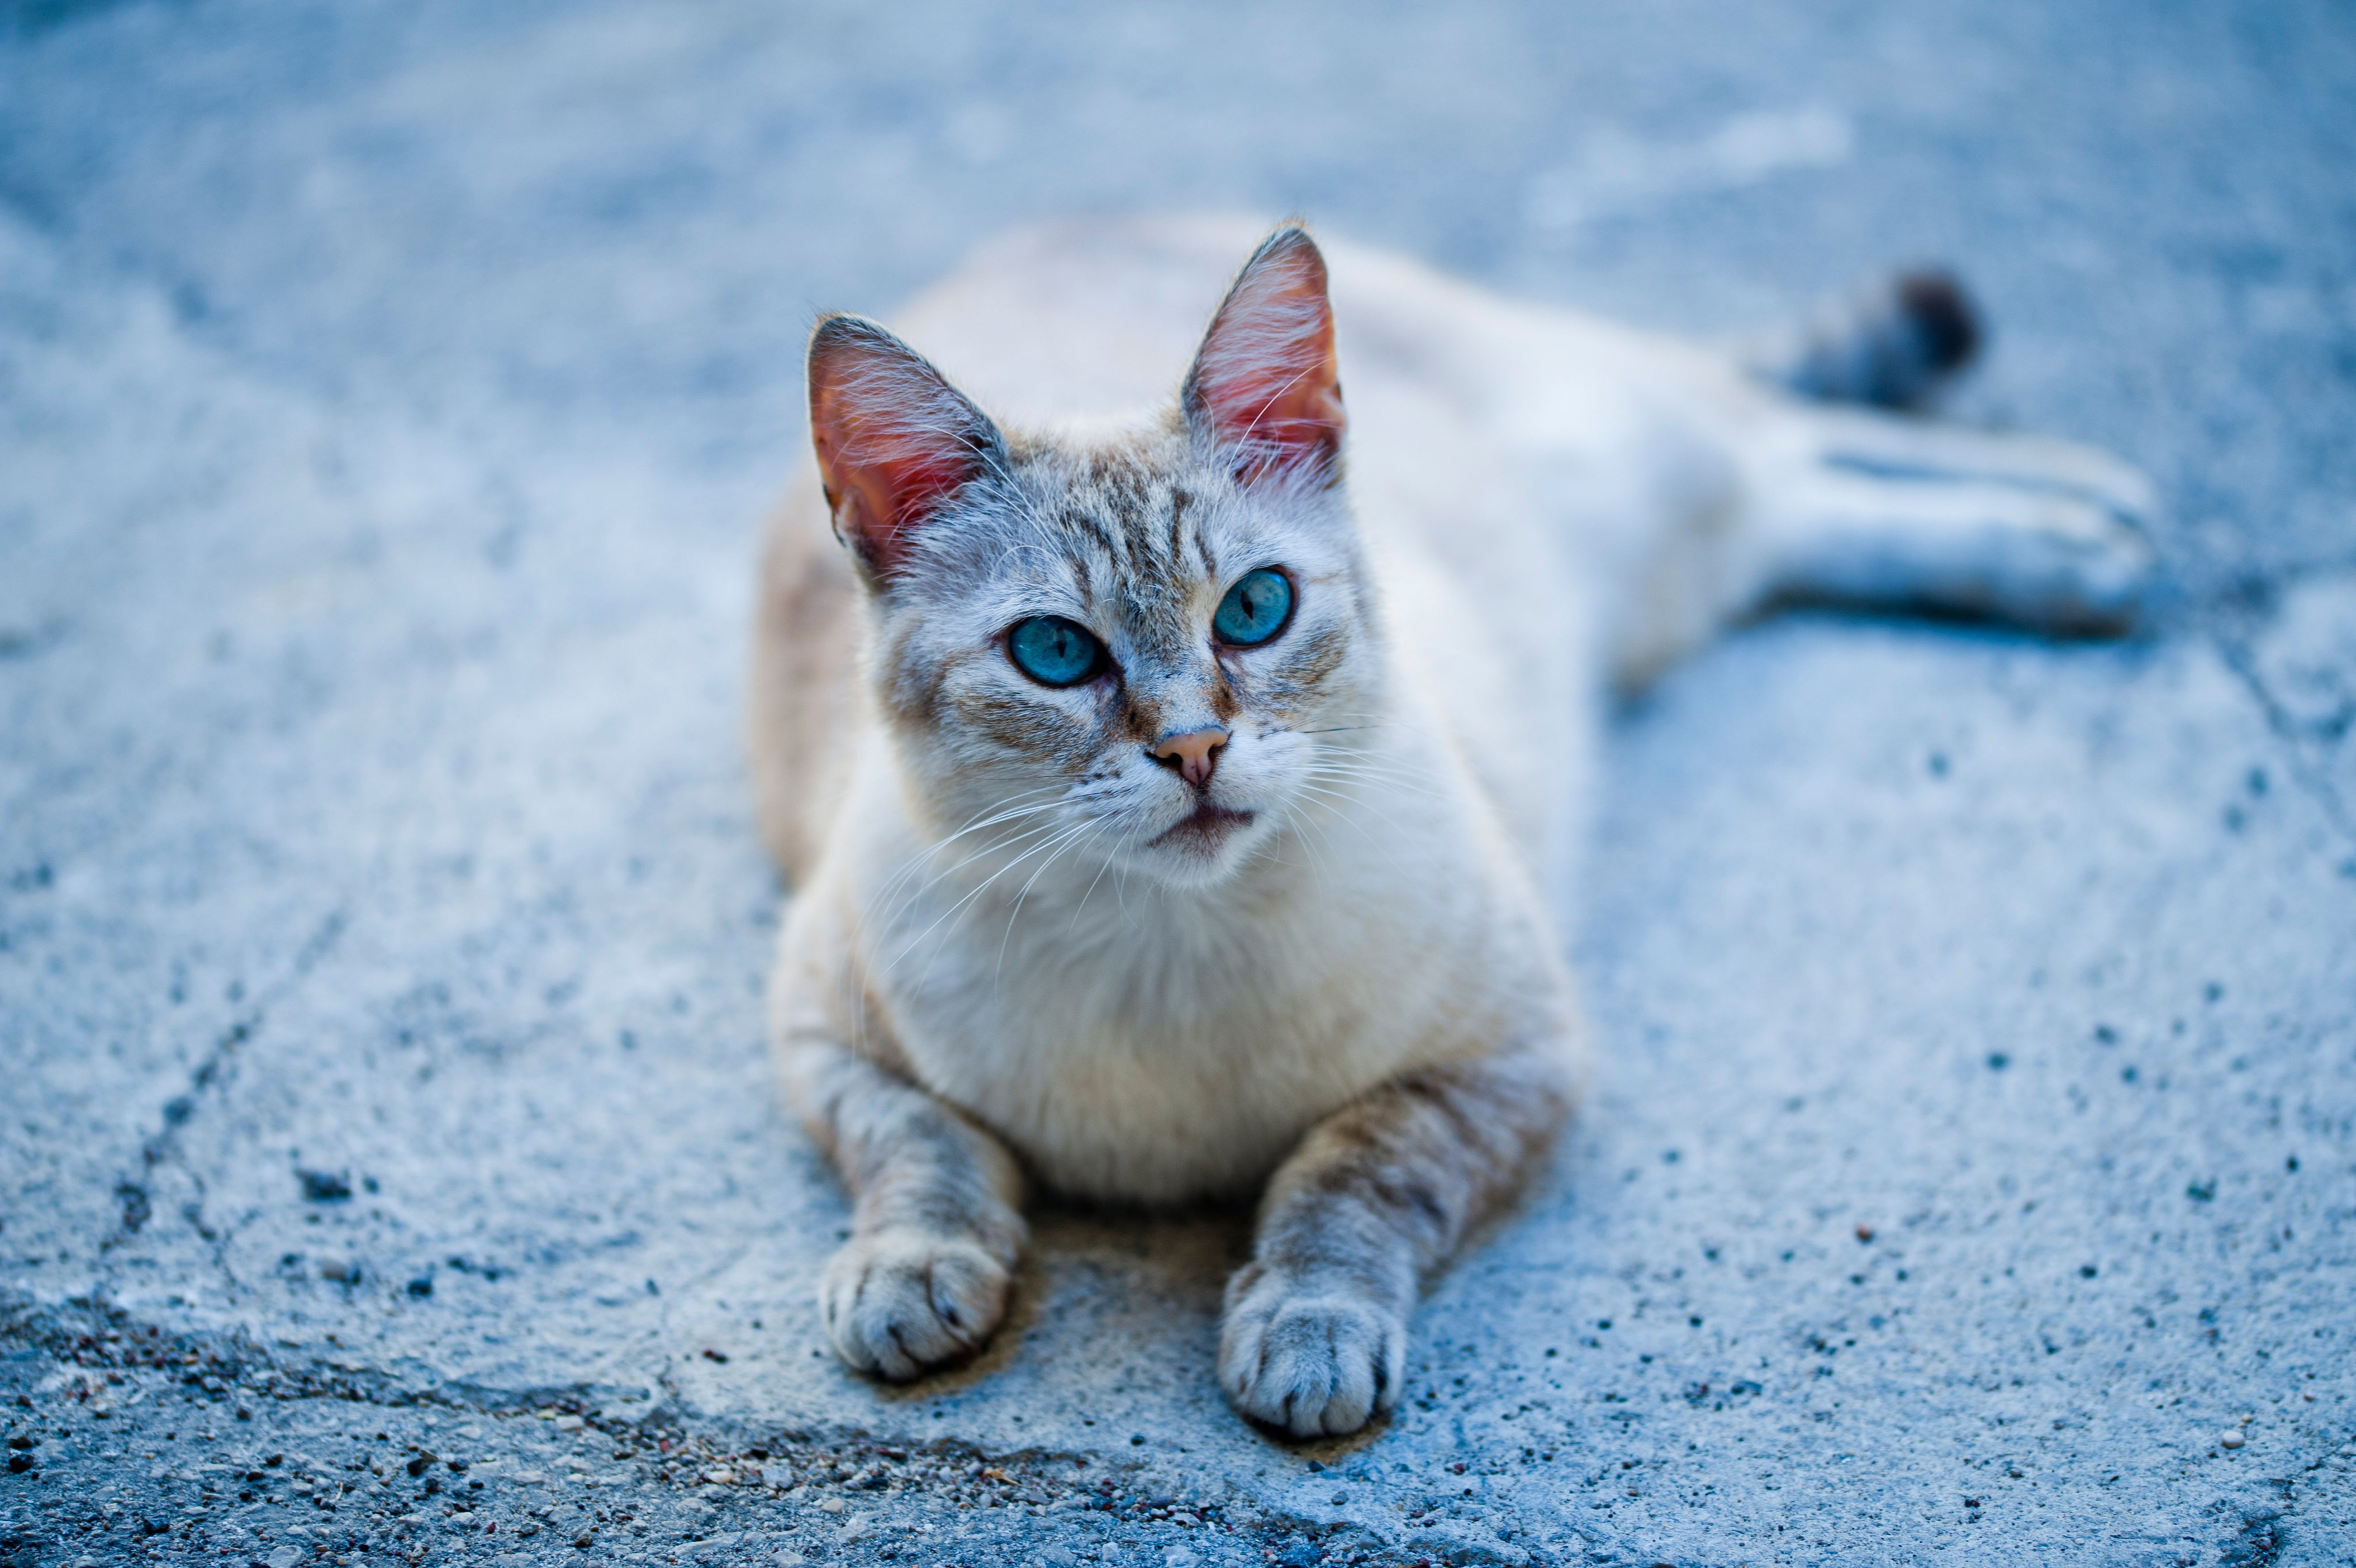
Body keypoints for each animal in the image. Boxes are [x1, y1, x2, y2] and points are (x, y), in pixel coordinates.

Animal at [749, 214, 2158, 1431]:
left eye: (1254, 610)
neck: (1170, 954)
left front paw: (1308, 1329)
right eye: (1053, 653)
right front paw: (910, 1277)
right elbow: (922, 1151)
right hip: (1677, 559)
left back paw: (2095, 522)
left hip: (1640, 460)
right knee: (1789, 494)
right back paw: (2087, 534)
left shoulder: (1507, 1060)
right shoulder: (822, 1029)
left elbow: (1351, 1175)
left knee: (1783, 427)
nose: (1195, 750)